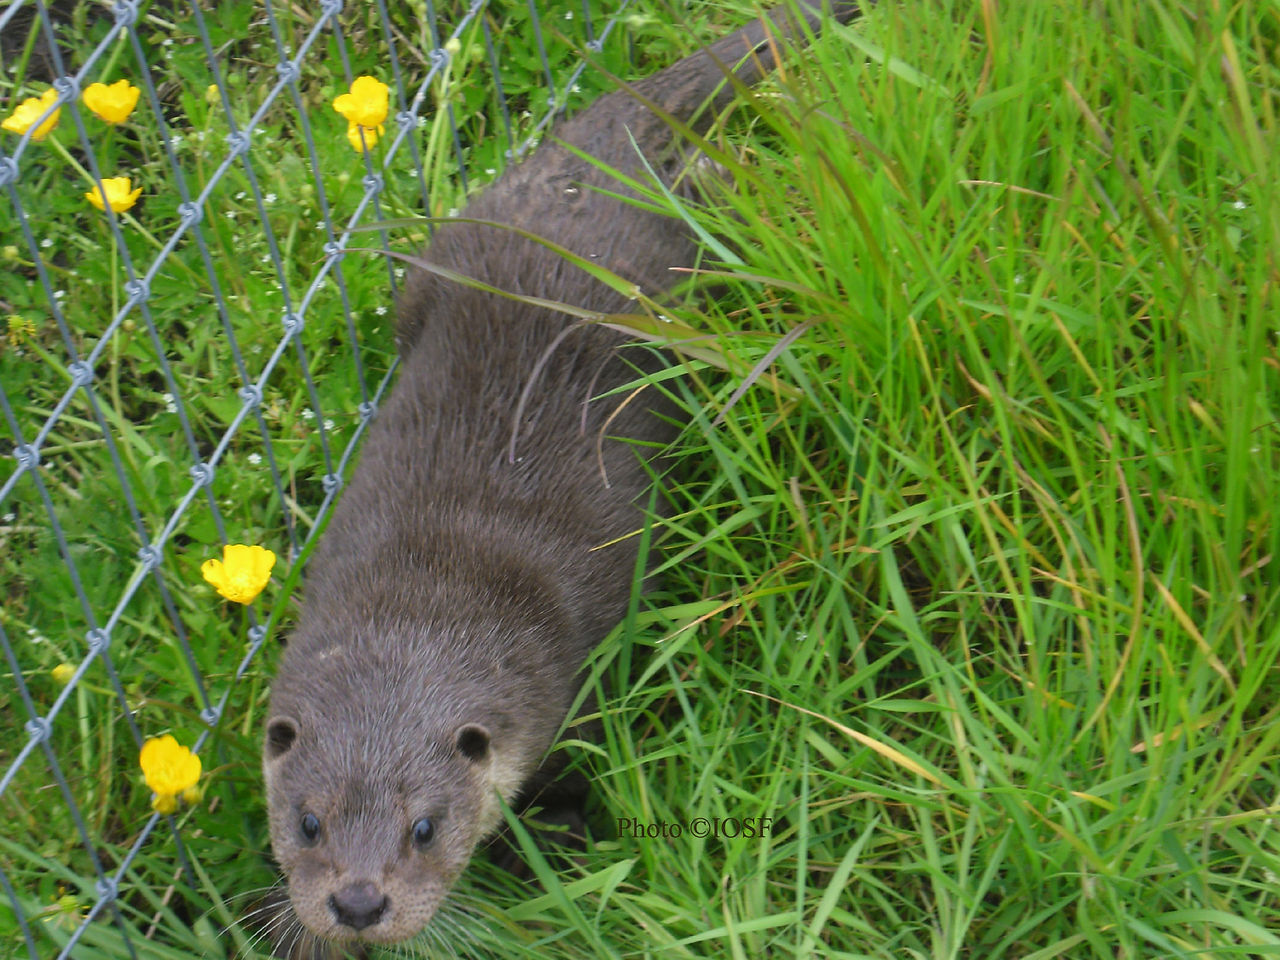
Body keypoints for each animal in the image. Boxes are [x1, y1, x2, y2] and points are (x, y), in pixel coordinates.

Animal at [260, 3, 858, 956]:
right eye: (308, 822)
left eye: (425, 827)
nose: (356, 902)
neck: (434, 586)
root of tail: (591, 158)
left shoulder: (579, 676)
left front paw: (564, 836)